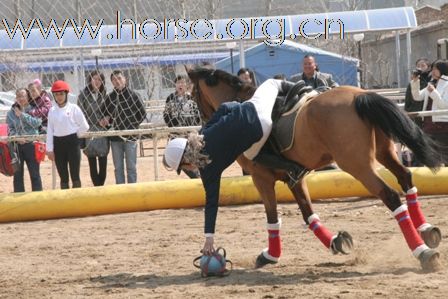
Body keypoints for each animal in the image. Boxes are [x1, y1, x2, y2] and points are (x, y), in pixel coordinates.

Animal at [186, 66, 444, 272]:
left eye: (193, 96)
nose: (202, 124)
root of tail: (360, 96)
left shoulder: (261, 178)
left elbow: (273, 217)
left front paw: (270, 256)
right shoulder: (295, 178)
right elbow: (308, 214)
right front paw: (335, 242)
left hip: (357, 165)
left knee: (390, 195)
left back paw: (422, 252)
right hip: (384, 153)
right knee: (406, 177)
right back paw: (426, 230)